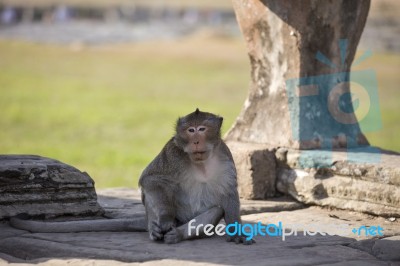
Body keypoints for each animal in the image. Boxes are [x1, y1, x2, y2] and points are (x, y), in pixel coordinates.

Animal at [9, 109, 252, 244]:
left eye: (202, 129)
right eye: (190, 131)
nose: (196, 141)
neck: (200, 161)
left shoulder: (225, 159)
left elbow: (228, 195)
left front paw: (236, 232)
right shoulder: (172, 152)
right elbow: (152, 179)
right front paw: (165, 219)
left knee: (215, 210)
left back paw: (179, 235)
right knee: (153, 193)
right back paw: (156, 230)